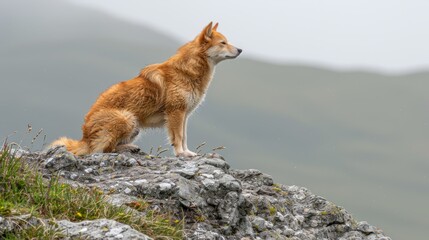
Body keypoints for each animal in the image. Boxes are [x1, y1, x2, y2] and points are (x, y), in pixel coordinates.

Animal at [50, 22, 241, 158]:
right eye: (223, 43)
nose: (240, 49)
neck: (188, 71)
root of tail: (84, 138)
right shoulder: (176, 112)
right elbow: (178, 137)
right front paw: (181, 154)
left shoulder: (184, 115)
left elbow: (184, 137)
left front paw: (187, 152)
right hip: (127, 118)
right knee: (103, 150)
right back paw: (127, 148)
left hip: (135, 127)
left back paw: (130, 147)